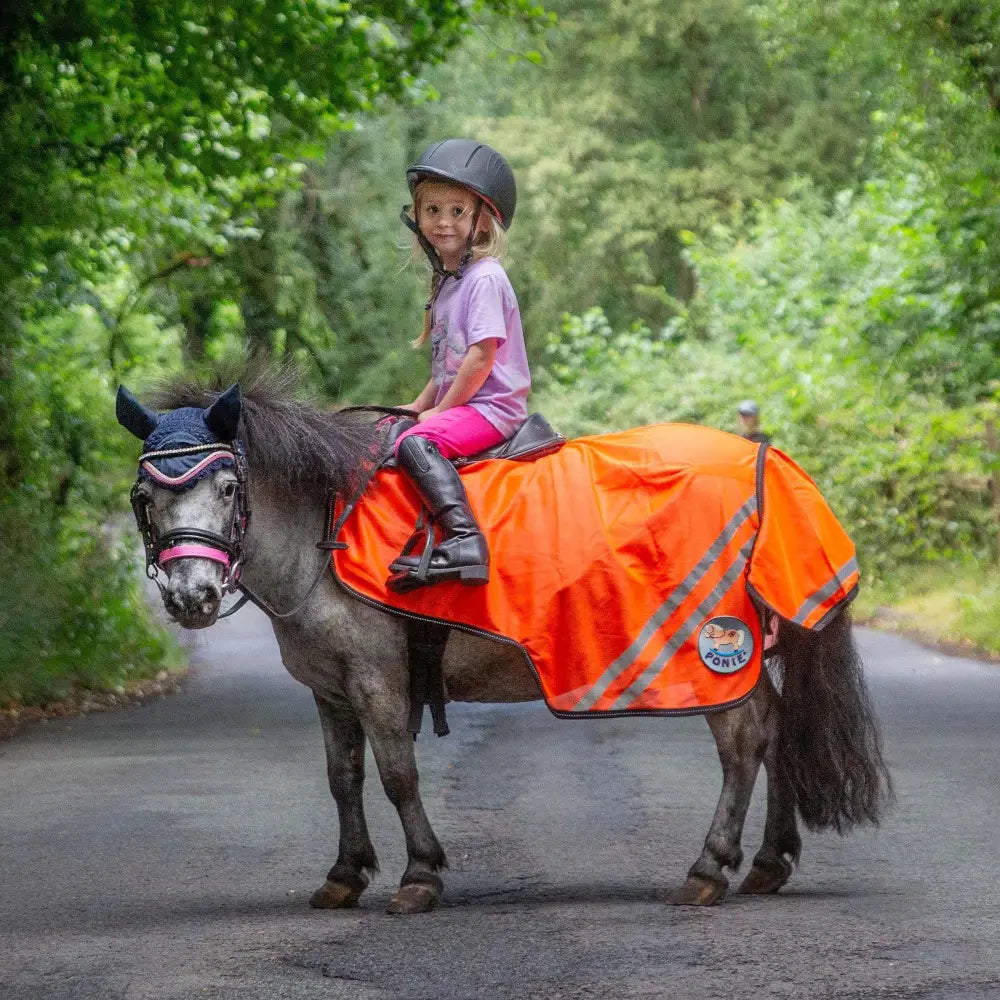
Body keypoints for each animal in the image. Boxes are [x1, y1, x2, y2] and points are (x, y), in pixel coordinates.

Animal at [115, 369, 892, 915]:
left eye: (226, 485)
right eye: (146, 498)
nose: (191, 596)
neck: (323, 524)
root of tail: (768, 461)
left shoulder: (377, 676)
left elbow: (397, 775)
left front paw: (419, 875)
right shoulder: (330, 687)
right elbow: (344, 778)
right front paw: (343, 876)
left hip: (714, 651)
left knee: (744, 740)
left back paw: (709, 868)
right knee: (777, 729)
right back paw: (767, 862)